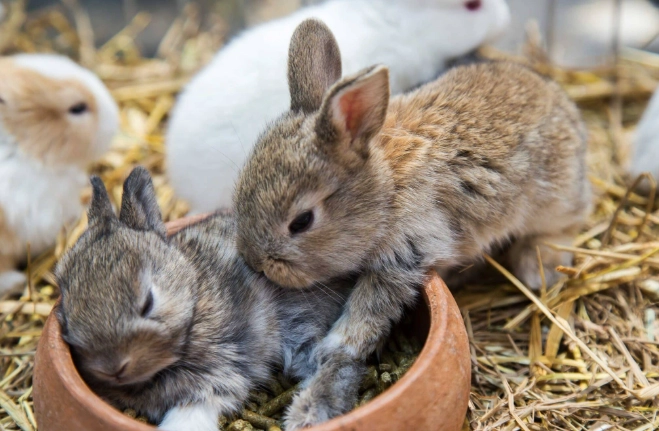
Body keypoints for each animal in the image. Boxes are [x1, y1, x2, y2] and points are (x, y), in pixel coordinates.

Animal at [233, 18, 591, 425]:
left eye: (302, 221)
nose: (254, 263)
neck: (386, 189)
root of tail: (564, 104)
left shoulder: (402, 256)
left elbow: (365, 314)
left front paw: (329, 359)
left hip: (555, 202)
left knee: (566, 226)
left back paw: (536, 268)